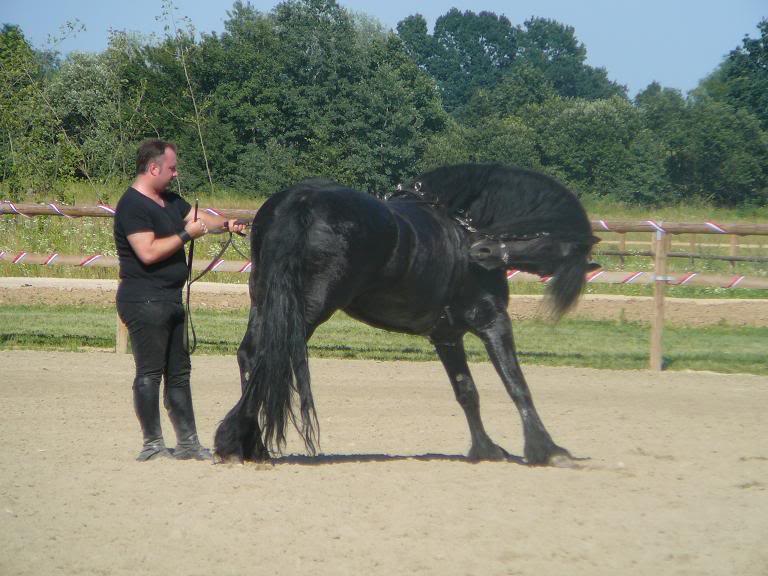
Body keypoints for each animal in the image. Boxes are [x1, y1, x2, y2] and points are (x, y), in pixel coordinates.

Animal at [213, 162, 596, 464]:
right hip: (304, 310)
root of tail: (301, 200)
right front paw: (547, 449)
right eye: (552, 237)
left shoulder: (446, 335)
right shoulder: (493, 321)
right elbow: (517, 384)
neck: (462, 228)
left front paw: (486, 449)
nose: (482, 252)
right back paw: (236, 440)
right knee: (268, 356)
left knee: (251, 355)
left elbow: (467, 391)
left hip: (265, 300)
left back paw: (252, 444)